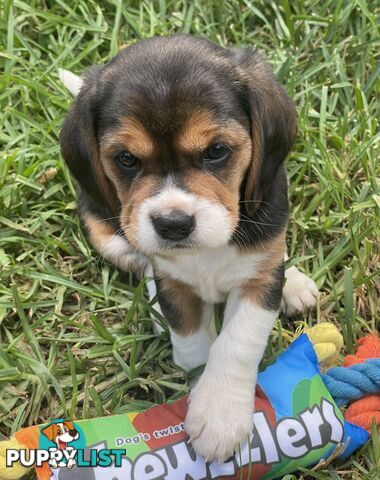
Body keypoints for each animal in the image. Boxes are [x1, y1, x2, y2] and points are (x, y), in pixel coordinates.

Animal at [58, 33, 318, 462]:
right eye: (126, 159)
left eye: (216, 151)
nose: (173, 224)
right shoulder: (172, 282)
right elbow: (194, 344)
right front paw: (201, 396)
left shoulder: (259, 282)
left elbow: (236, 343)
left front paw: (220, 413)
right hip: (102, 223)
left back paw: (293, 282)